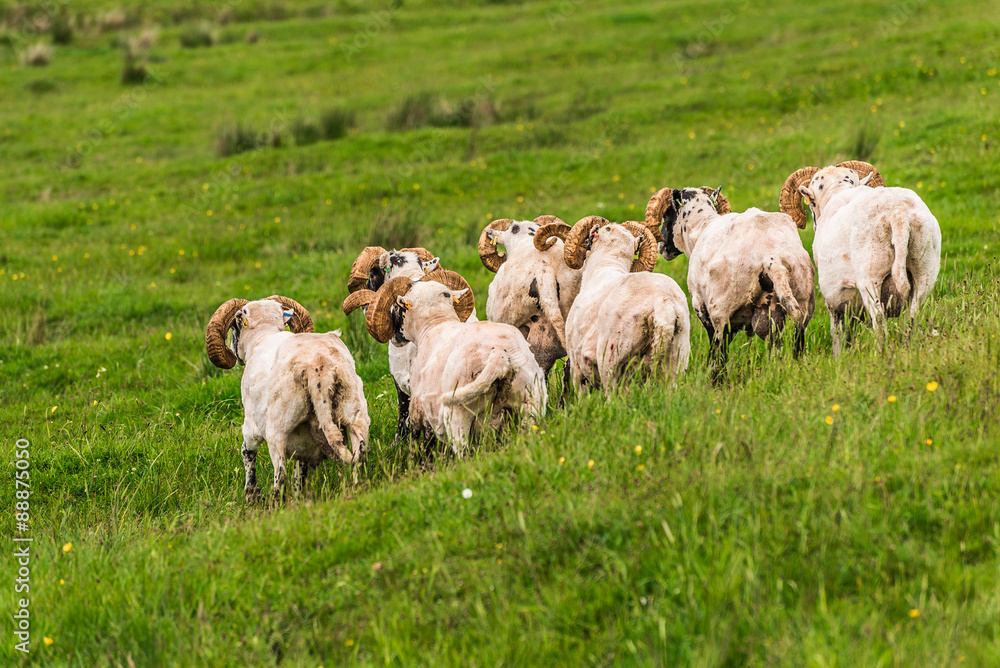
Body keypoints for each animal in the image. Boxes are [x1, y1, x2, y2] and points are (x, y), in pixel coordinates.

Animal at [205, 295, 370, 502]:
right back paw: (357, 489)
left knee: (280, 474)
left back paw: (276, 503)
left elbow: (247, 453)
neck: (263, 335)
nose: (234, 353)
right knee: (359, 458)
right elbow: (301, 470)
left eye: (235, 327)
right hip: (355, 412)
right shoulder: (306, 445)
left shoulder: (251, 425)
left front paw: (251, 494)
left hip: (277, 428)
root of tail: (318, 368)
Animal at [355, 270, 547, 455]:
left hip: (458, 416)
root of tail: (498, 354)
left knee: (463, 453)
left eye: (396, 306)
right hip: (531, 405)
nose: (394, 338)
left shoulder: (421, 410)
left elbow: (422, 445)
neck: (436, 323)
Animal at [544, 216, 690, 394]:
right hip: (678, 355)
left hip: (611, 356)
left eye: (606, 229)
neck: (606, 264)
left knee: (612, 394)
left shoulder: (576, 362)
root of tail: (663, 304)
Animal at [646, 186, 815, 374]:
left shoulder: (700, 305)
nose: (662, 247)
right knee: (797, 333)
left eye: (667, 214)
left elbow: (713, 343)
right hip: (802, 300)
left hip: (720, 309)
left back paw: (715, 377)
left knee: (720, 350)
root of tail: (771, 258)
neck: (700, 227)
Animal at [779, 160, 942, 355]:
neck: (837, 190)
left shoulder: (833, 301)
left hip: (870, 275)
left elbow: (838, 334)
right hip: (925, 270)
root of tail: (898, 213)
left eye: (811, 203)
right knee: (913, 315)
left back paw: (880, 353)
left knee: (878, 319)